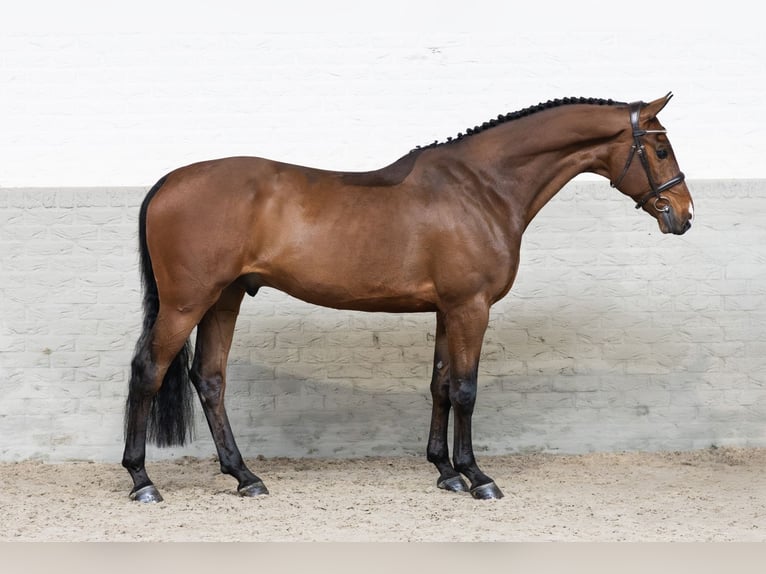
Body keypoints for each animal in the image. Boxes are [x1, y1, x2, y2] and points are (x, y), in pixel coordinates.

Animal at [123, 93, 694, 503]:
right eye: (661, 149)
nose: (683, 215)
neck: (482, 188)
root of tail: (170, 180)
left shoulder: (448, 309)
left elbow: (440, 384)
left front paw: (445, 471)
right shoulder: (470, 307)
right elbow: (465, 389)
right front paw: (477, 476)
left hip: (224, 299)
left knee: (210, 379)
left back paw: (245, 477)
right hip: (187, 303)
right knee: (149, 371)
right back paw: (143, 481)